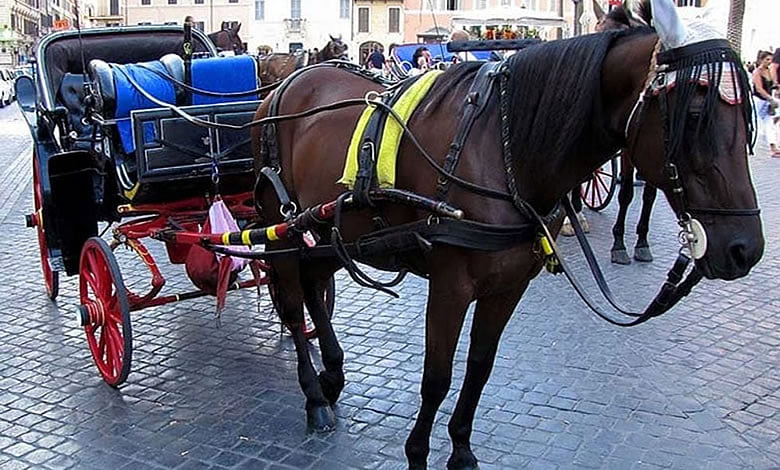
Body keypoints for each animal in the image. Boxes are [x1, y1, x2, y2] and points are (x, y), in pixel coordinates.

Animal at [250, 1, 763, 468]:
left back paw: (332, 374)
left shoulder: (511, 284)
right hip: (280, 227)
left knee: (316, 287)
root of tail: (285, 85)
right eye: (693, 116)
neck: (504, 149)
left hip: (323, 228)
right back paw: (315, 396)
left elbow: (480, 365)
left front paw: (460, 449)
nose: (746, 249)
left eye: (748, 121)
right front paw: (418, 453)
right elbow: (437, 376)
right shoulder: (450, 285)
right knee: (293, 305)